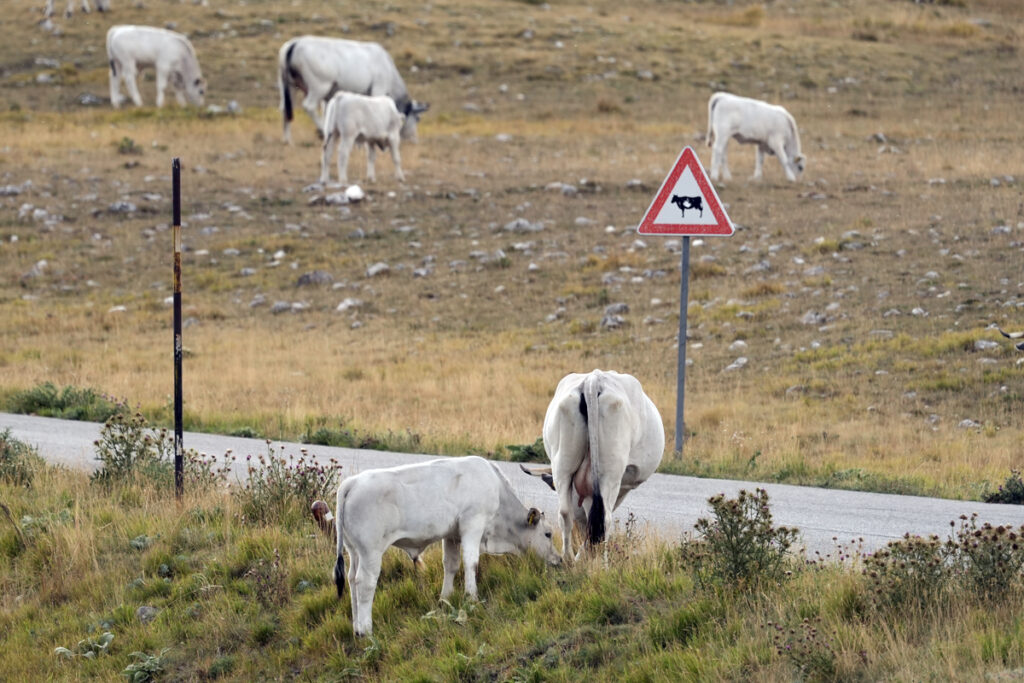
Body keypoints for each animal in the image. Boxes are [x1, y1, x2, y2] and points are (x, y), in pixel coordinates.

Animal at [276, 35, 428, 144]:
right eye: (418, 118)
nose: (415, 140)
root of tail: (295, 43)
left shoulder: (330, 97)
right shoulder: (378, 89)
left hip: (288, 87)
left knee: (285, 109)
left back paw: (287, 139)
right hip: (319, 86)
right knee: (309, 106)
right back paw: (321, 131)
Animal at [333, 456, 561, 638]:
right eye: (548, 533)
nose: (559, 559)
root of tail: (352, 483)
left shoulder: (451, 535)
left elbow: (450, 565)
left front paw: (445, 599)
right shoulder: (473, 525)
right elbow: (471, 563)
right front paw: (472, 597)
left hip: (354, 551)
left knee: (351, 580)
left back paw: (356, 627)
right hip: (371, 552)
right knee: (365, 583)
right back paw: (366, 630)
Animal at [520, 370, 663, 565]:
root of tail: (593, 379)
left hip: (563, 464)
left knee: (565, 514)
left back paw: (568, 558)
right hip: (609, 474)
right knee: (604, 519)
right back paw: (603, 564)